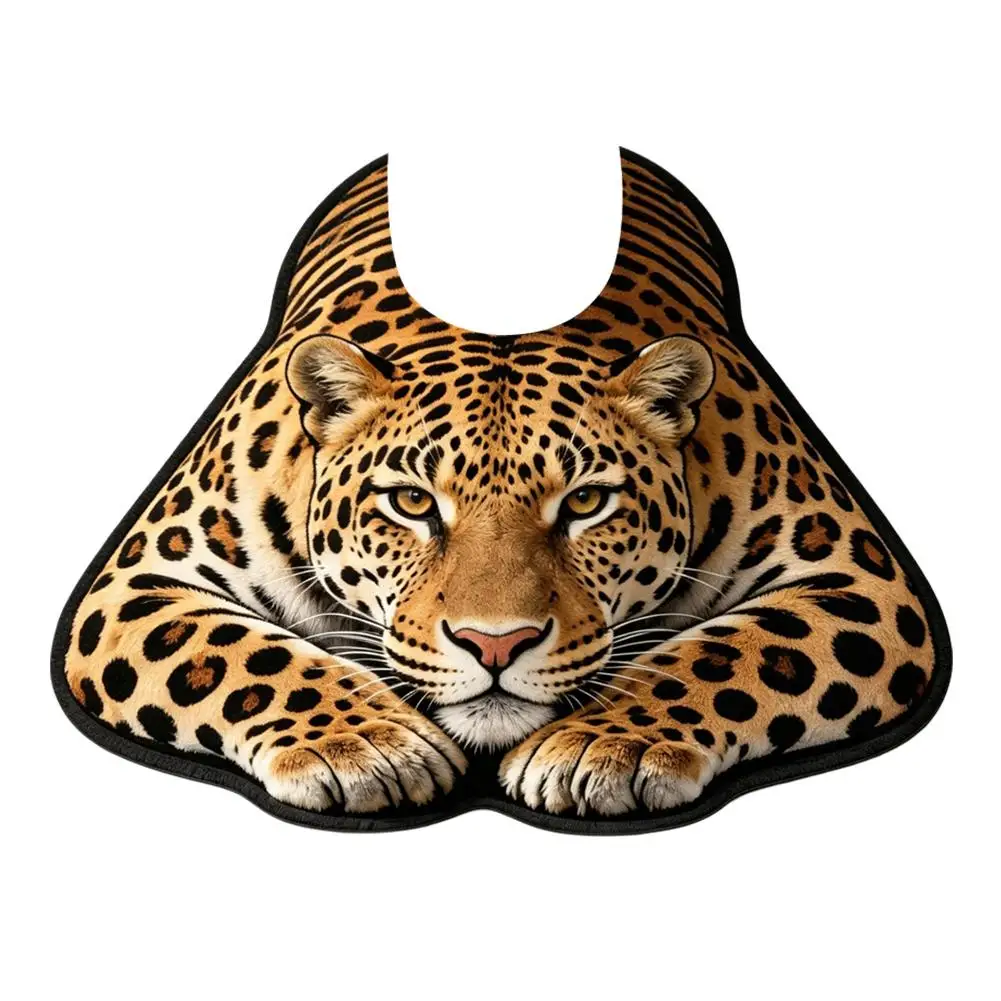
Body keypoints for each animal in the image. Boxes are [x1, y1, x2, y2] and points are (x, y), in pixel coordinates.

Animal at [61, 151, 941, 818]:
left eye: (584, 502)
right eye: (412, 503)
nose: (494, 644)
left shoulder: (857, 575)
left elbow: (726, 651)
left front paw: (599, 746)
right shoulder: (143, 577)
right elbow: (245, 653)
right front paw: (366, 746)